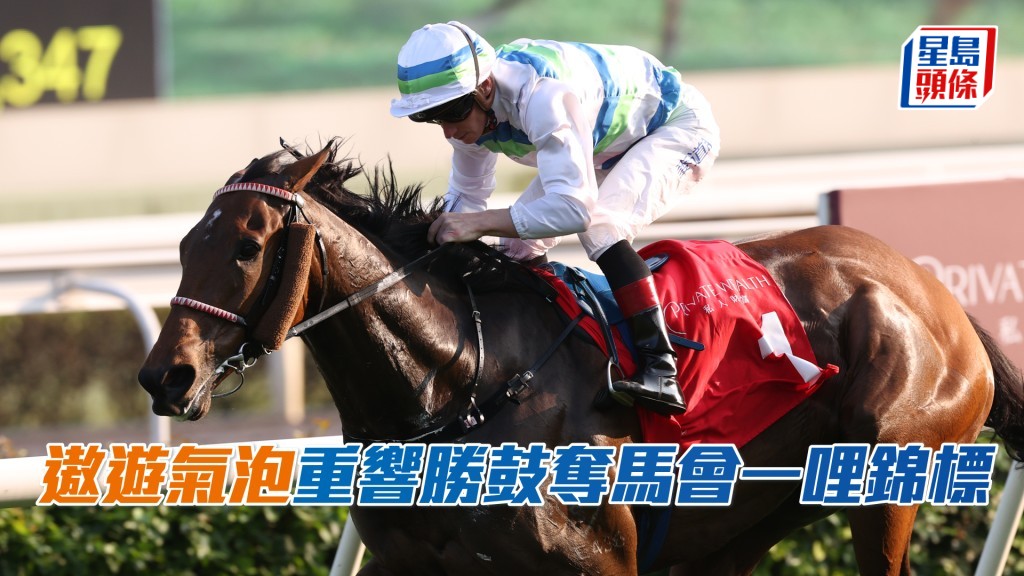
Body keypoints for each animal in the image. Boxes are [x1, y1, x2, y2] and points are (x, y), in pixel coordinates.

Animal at [138, 140, 1024, 576]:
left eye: (248, 246)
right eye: (184, 244)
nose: (164, 375)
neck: (461, 386)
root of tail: (937, 297)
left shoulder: (599, 560)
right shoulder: (408, 563)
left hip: (890, 471)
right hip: (746, 524)